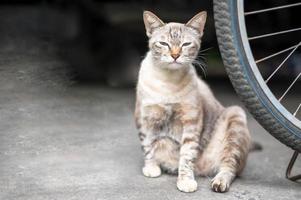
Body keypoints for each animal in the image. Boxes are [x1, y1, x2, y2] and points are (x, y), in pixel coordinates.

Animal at [134, 10, 251, 192]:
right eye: (164, 44)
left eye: (186, 44)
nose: (175, 55)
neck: (168, 82)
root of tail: (202, 170)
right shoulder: (144, 119)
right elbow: (148, 146)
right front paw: (151, 168)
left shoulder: (191, 121)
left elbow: (186, 156)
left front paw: (185, 181)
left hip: (235, 116)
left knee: (229, 166)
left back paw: (219, 183)